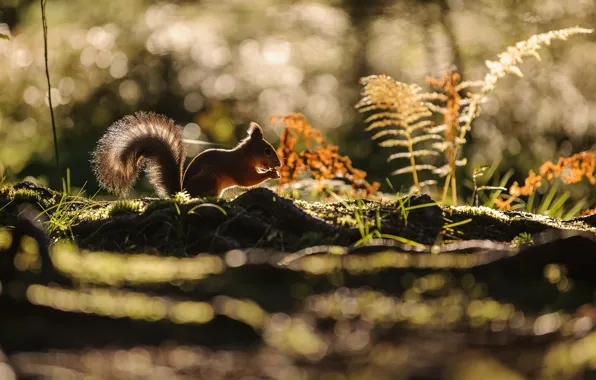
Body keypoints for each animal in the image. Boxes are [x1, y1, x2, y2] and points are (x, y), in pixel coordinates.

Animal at [91, 111, 282, 197]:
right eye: (267, 151)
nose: (279, 164)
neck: (245, 156)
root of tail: (183, 192)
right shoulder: (238, 167)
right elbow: (248, 181)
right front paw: (271, 173)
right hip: (209, 179)